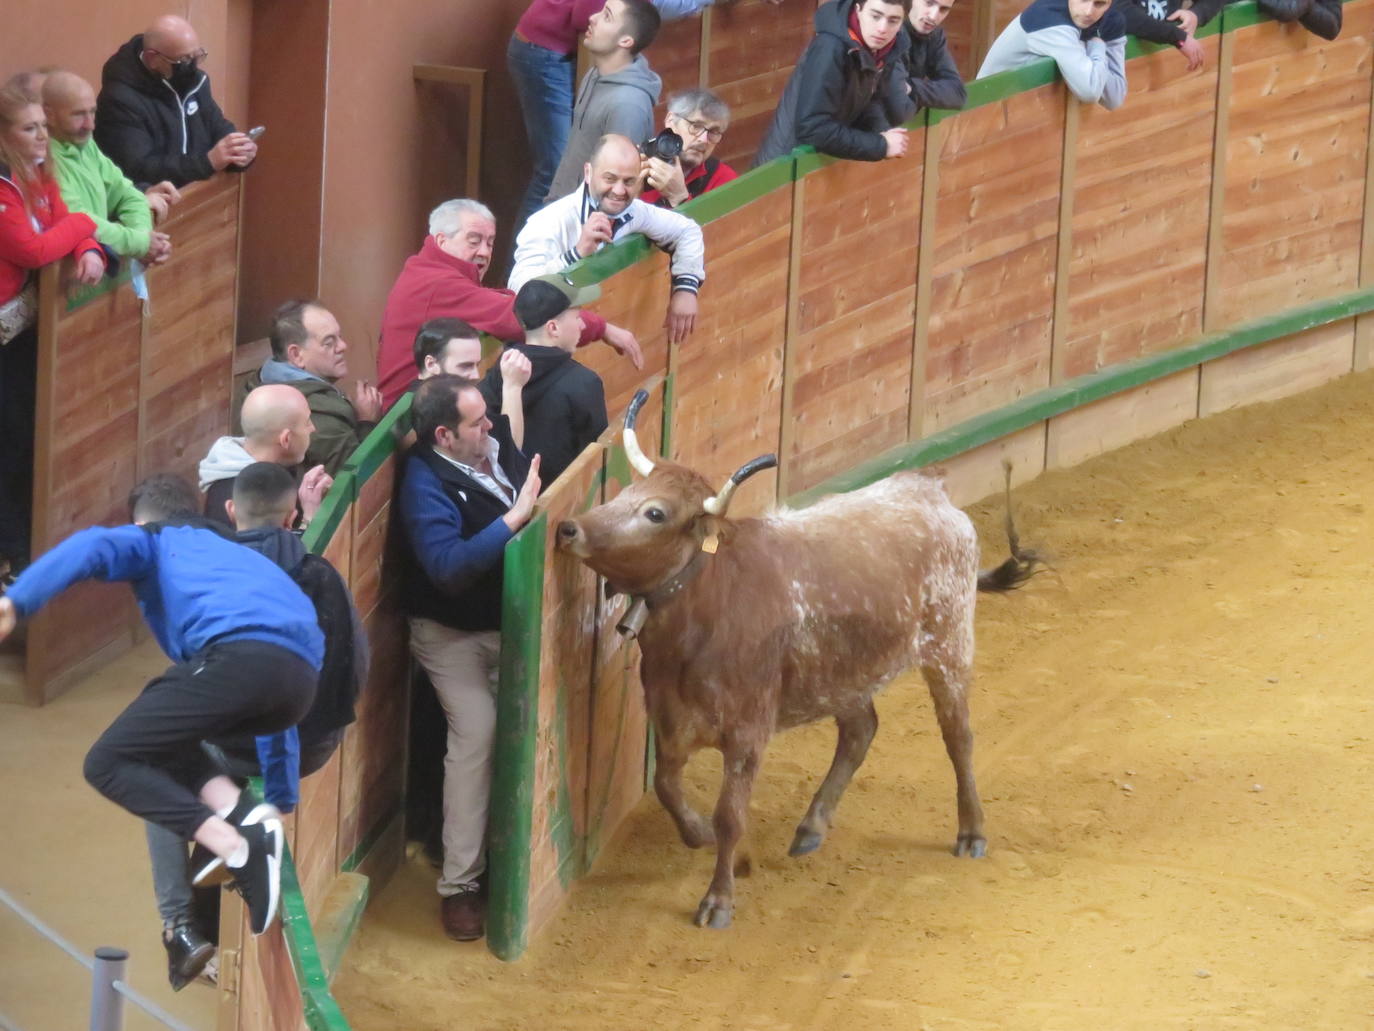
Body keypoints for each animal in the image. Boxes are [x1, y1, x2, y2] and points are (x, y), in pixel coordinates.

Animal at [552, 390, 1033, 934]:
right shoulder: (671, 720)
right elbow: (667, 786)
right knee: (860, 730)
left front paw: (718, 898)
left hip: (950, 648)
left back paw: (971, 831)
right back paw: (812, 826)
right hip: (842, 674)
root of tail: (930, 489)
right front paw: (698, 834)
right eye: (627, 491)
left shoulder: (748, 733)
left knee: (958, 737)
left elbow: (731, 816)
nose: (569, 527)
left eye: (655, 513)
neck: (710, 604)